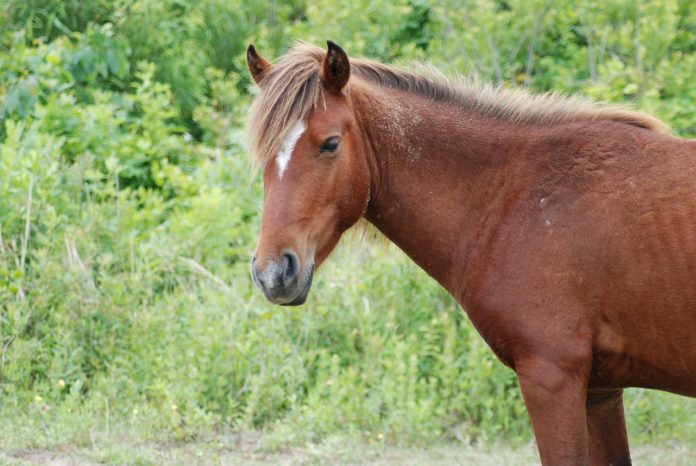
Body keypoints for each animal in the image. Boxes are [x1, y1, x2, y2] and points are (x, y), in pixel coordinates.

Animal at [245, 41, 696, 464]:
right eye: (263, 153)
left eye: (331, 144)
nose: (273, 273)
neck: (513, 197)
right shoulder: (601, 391)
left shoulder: (553, 378)